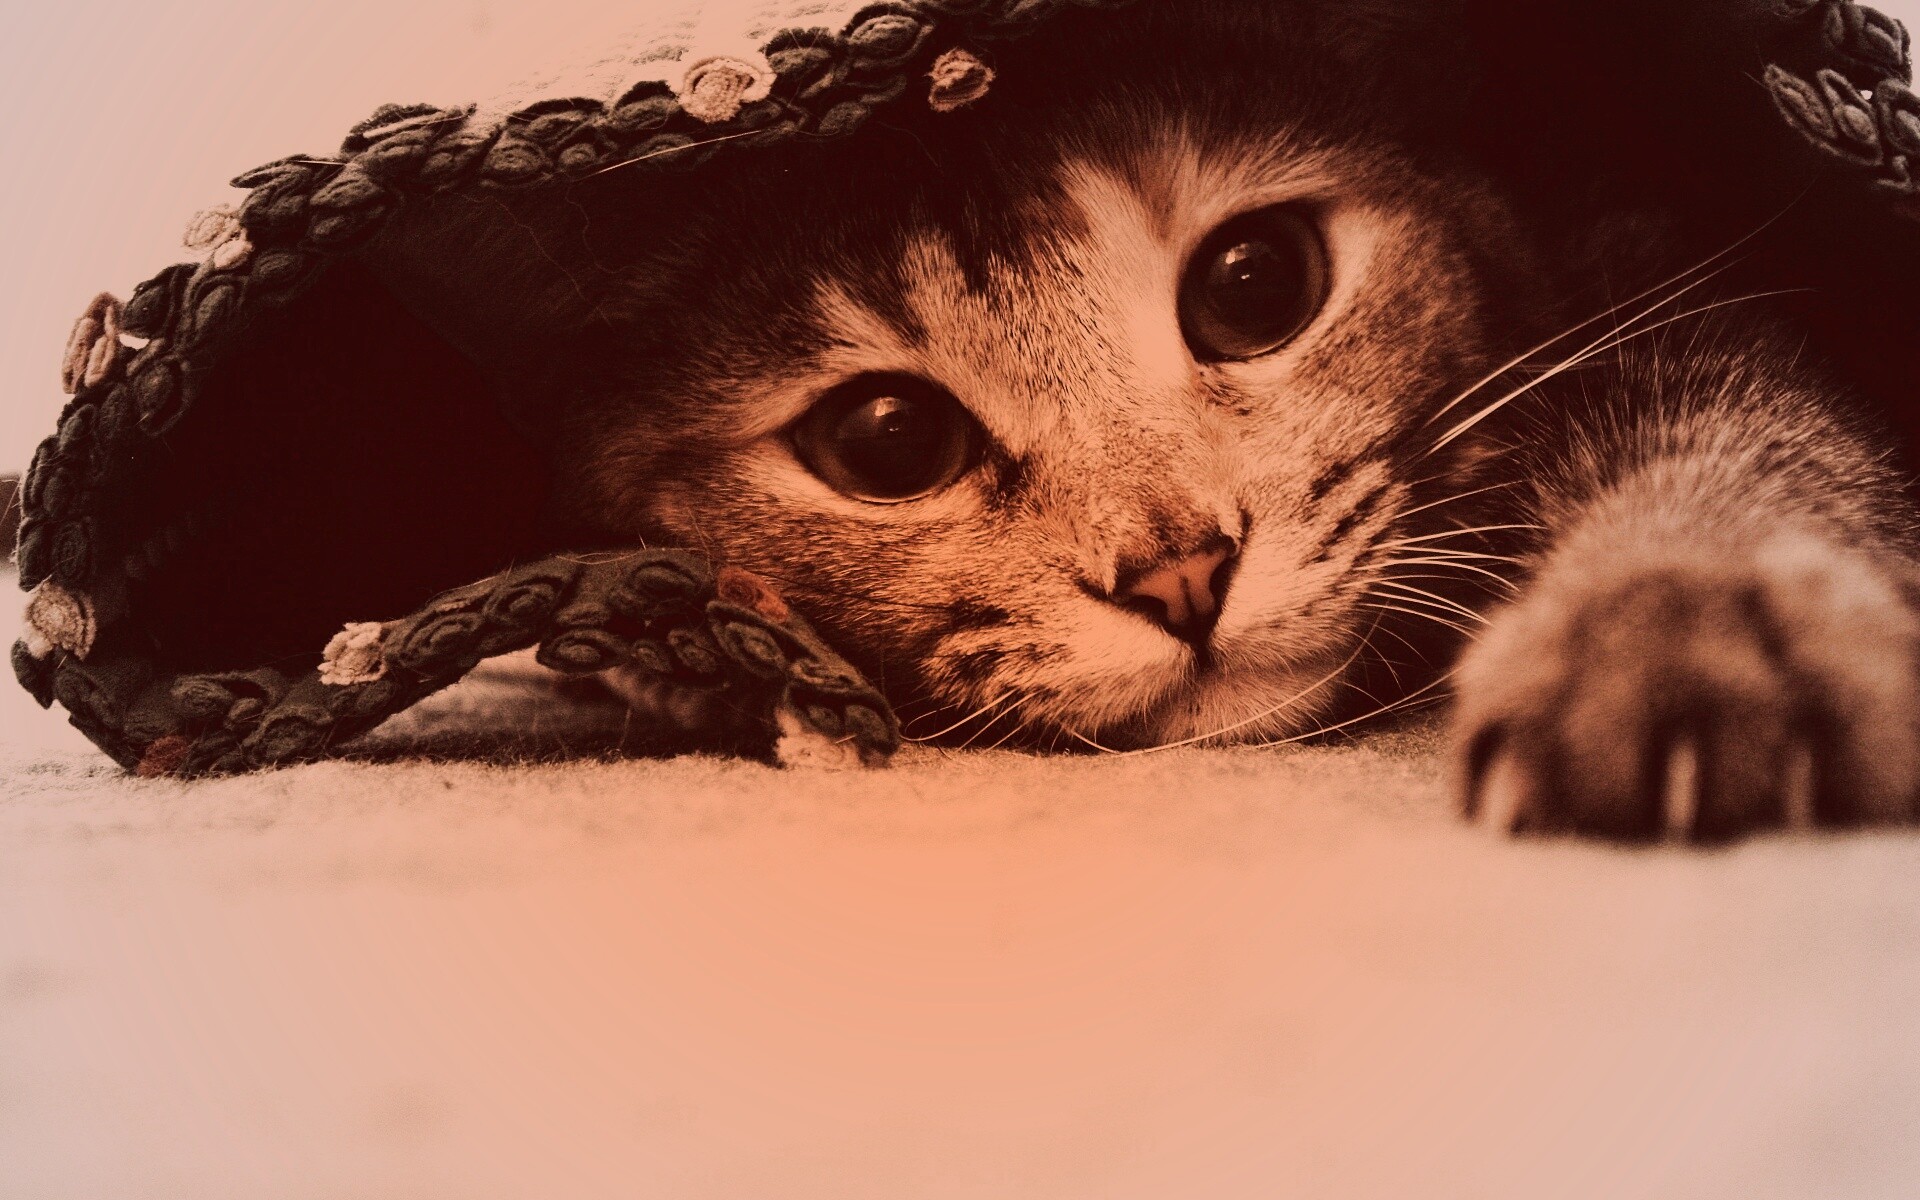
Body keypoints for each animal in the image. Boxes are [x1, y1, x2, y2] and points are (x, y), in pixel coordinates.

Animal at [546, 0, 1920, 841]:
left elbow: (1730, 433)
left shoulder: (1656, 288)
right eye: (889, 438)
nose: (1183, 574)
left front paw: (1682, 630)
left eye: (1255, 283)